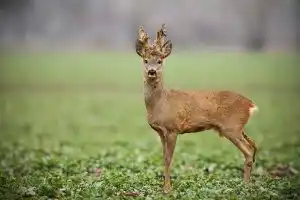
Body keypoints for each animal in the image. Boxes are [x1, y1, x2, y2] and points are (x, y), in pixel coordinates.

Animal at [135, 23, 258, 194]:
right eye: (145, 60)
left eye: (160, 61)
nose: (151, 71)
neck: (160, 102)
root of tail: (250, 104)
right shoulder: (160, 131)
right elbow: (163, 157)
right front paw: (163, 187)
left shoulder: (173, 128)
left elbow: (168, 159)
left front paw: (167, 189)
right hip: (238, 128)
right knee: (253, 146)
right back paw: (248, 184)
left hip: (231, 127)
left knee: (248, 151)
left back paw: (245, 186)